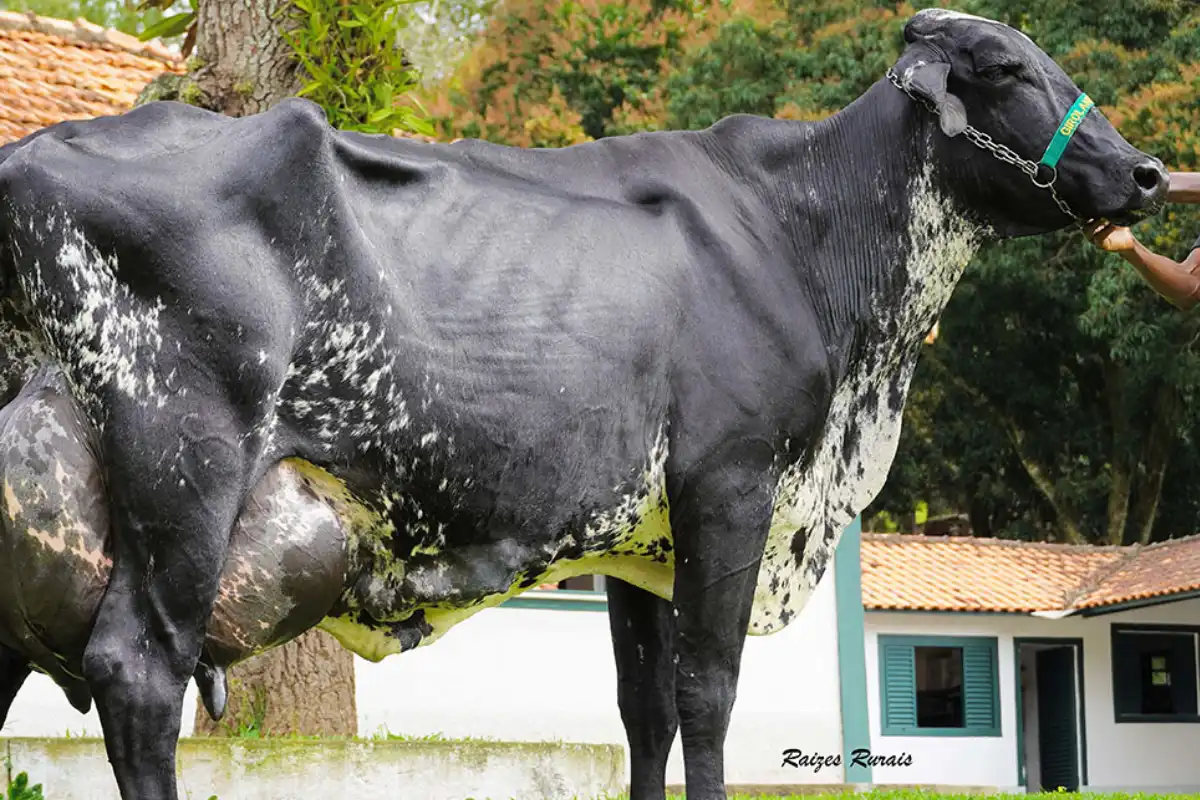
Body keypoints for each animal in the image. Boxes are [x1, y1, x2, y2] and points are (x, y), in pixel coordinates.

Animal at [0, 8, 1169, 800]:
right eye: (1007, 67)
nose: (1150, 172)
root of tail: (32, 155)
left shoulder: (639, 539)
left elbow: (643, 710)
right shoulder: (731, 483)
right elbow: (708, 694)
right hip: (186, 463)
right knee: (139, 672)